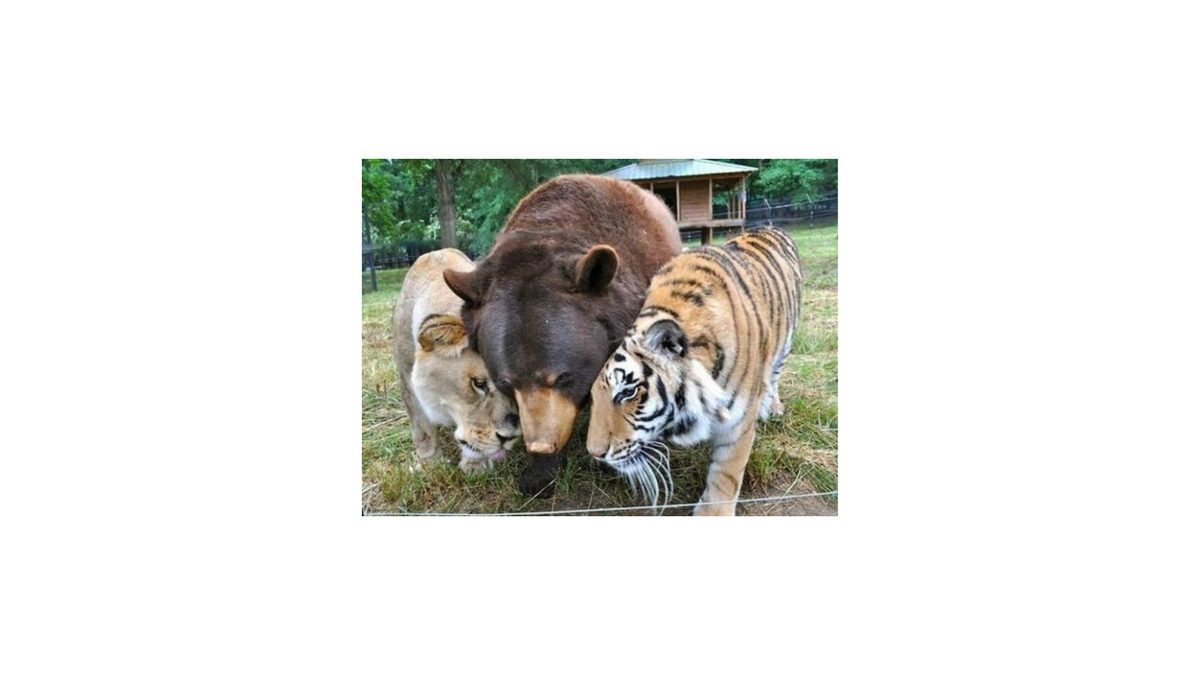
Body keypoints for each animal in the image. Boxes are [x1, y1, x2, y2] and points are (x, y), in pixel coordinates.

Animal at [392, 249, 521, 473]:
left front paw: (476, 466)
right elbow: (422, 429)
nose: (510, 437)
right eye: (479, 383)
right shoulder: (406, 377)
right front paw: (430, 465)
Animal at [585, 227, 803, 516]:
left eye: (628, 392)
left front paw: (713, 514)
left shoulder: (739, 423)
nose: (595, 453)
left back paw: (774, 406)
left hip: (786, 341)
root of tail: (771, 227)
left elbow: (726, 473)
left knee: (775, 373)